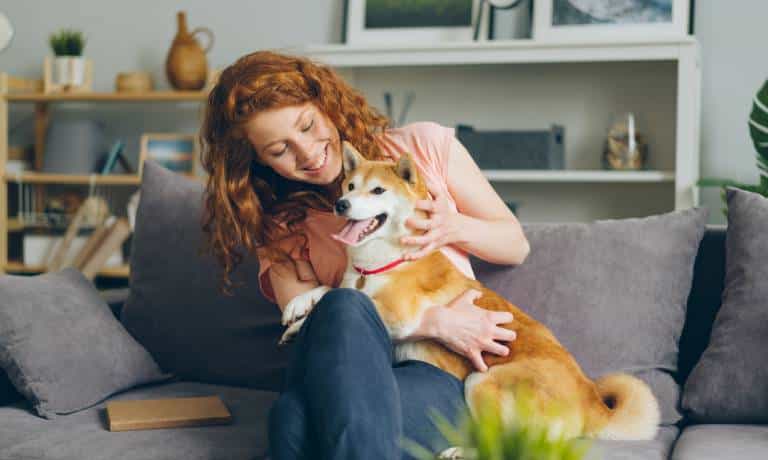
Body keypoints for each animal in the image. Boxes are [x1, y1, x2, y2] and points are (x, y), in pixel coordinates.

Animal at [282, 143, 660, 442]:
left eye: (377, 191)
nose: (341, 204)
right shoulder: (355, 281)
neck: (385, 261)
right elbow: (332, 287)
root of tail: (591, 402)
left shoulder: (398, 313)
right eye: (349, 186)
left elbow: (345, 298)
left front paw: (302, 323)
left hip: (481, 381)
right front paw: (298, 306)